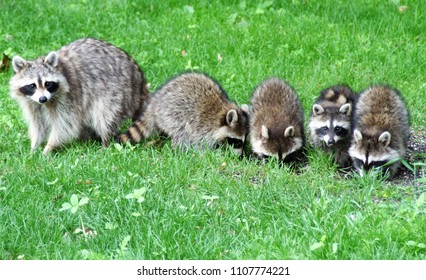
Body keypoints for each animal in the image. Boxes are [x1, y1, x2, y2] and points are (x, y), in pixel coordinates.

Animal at [9, 37, 149, 154]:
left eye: (47, 83)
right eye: (32, 85)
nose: (43, 99)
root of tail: (138, 77)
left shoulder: (69, 97)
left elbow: (66, 125)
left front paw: (49, 147)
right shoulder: (32, 102)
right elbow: (38, 124)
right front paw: (34, 146)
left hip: (118, 92)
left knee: (104, 116)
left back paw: (105, 142)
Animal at [116, 72, 250, 154]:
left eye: (244, 140)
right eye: (236, 141)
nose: (239, 157)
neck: (221, 114)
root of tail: (154, 104)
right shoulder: (202, 127)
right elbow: (200, 142)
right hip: (172, 113)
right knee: (181, 132)